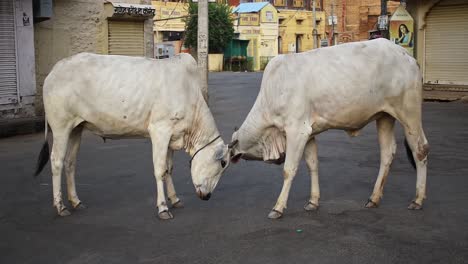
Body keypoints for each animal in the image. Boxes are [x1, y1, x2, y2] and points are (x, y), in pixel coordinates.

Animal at [33, 52, 231, 220]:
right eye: (222, 163)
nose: (207, 196)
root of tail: (55, 70)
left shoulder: (172, 136)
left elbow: (169, 169)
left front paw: (175, 199)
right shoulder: (160, 130)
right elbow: (160, 170)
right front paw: (163, 208)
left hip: (76, 128)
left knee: (70, 162)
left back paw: (76, 201)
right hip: (61, 127)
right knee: (57, 161)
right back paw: (60, 206)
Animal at [229, 37, 430, 219]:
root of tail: (408, 56)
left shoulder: (296, 131)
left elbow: (289, 170)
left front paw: (278, 207)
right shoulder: (309, 134)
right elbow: (312, 165)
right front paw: (313, 201)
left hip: (409, 114)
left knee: (420, 149)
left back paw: (418, 200)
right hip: (384, 116)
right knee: (387, 153)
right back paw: (374, 198)